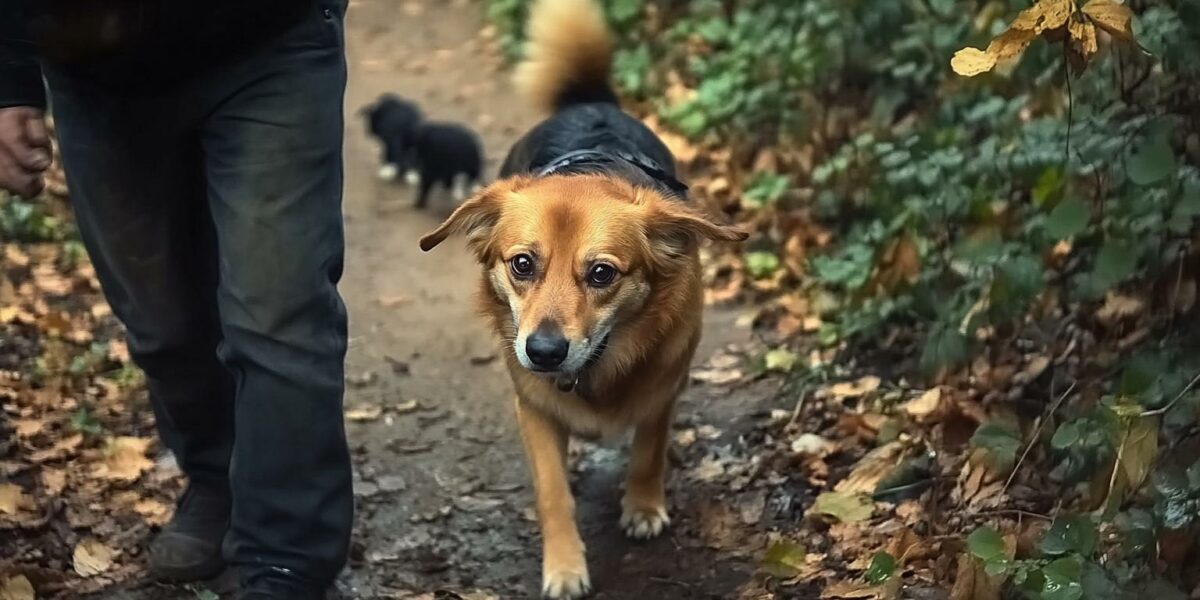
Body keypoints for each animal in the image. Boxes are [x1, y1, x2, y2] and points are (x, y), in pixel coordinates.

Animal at [417, 0, 744, 595]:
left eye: (601, 274)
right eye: (523, 265)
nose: (544, 352)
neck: (598, 366)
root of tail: (589, 102)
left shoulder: (663, 387)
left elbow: (648, 452)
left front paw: (643, 506)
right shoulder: (534, 408)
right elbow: (552, 493)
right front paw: (565, 566)